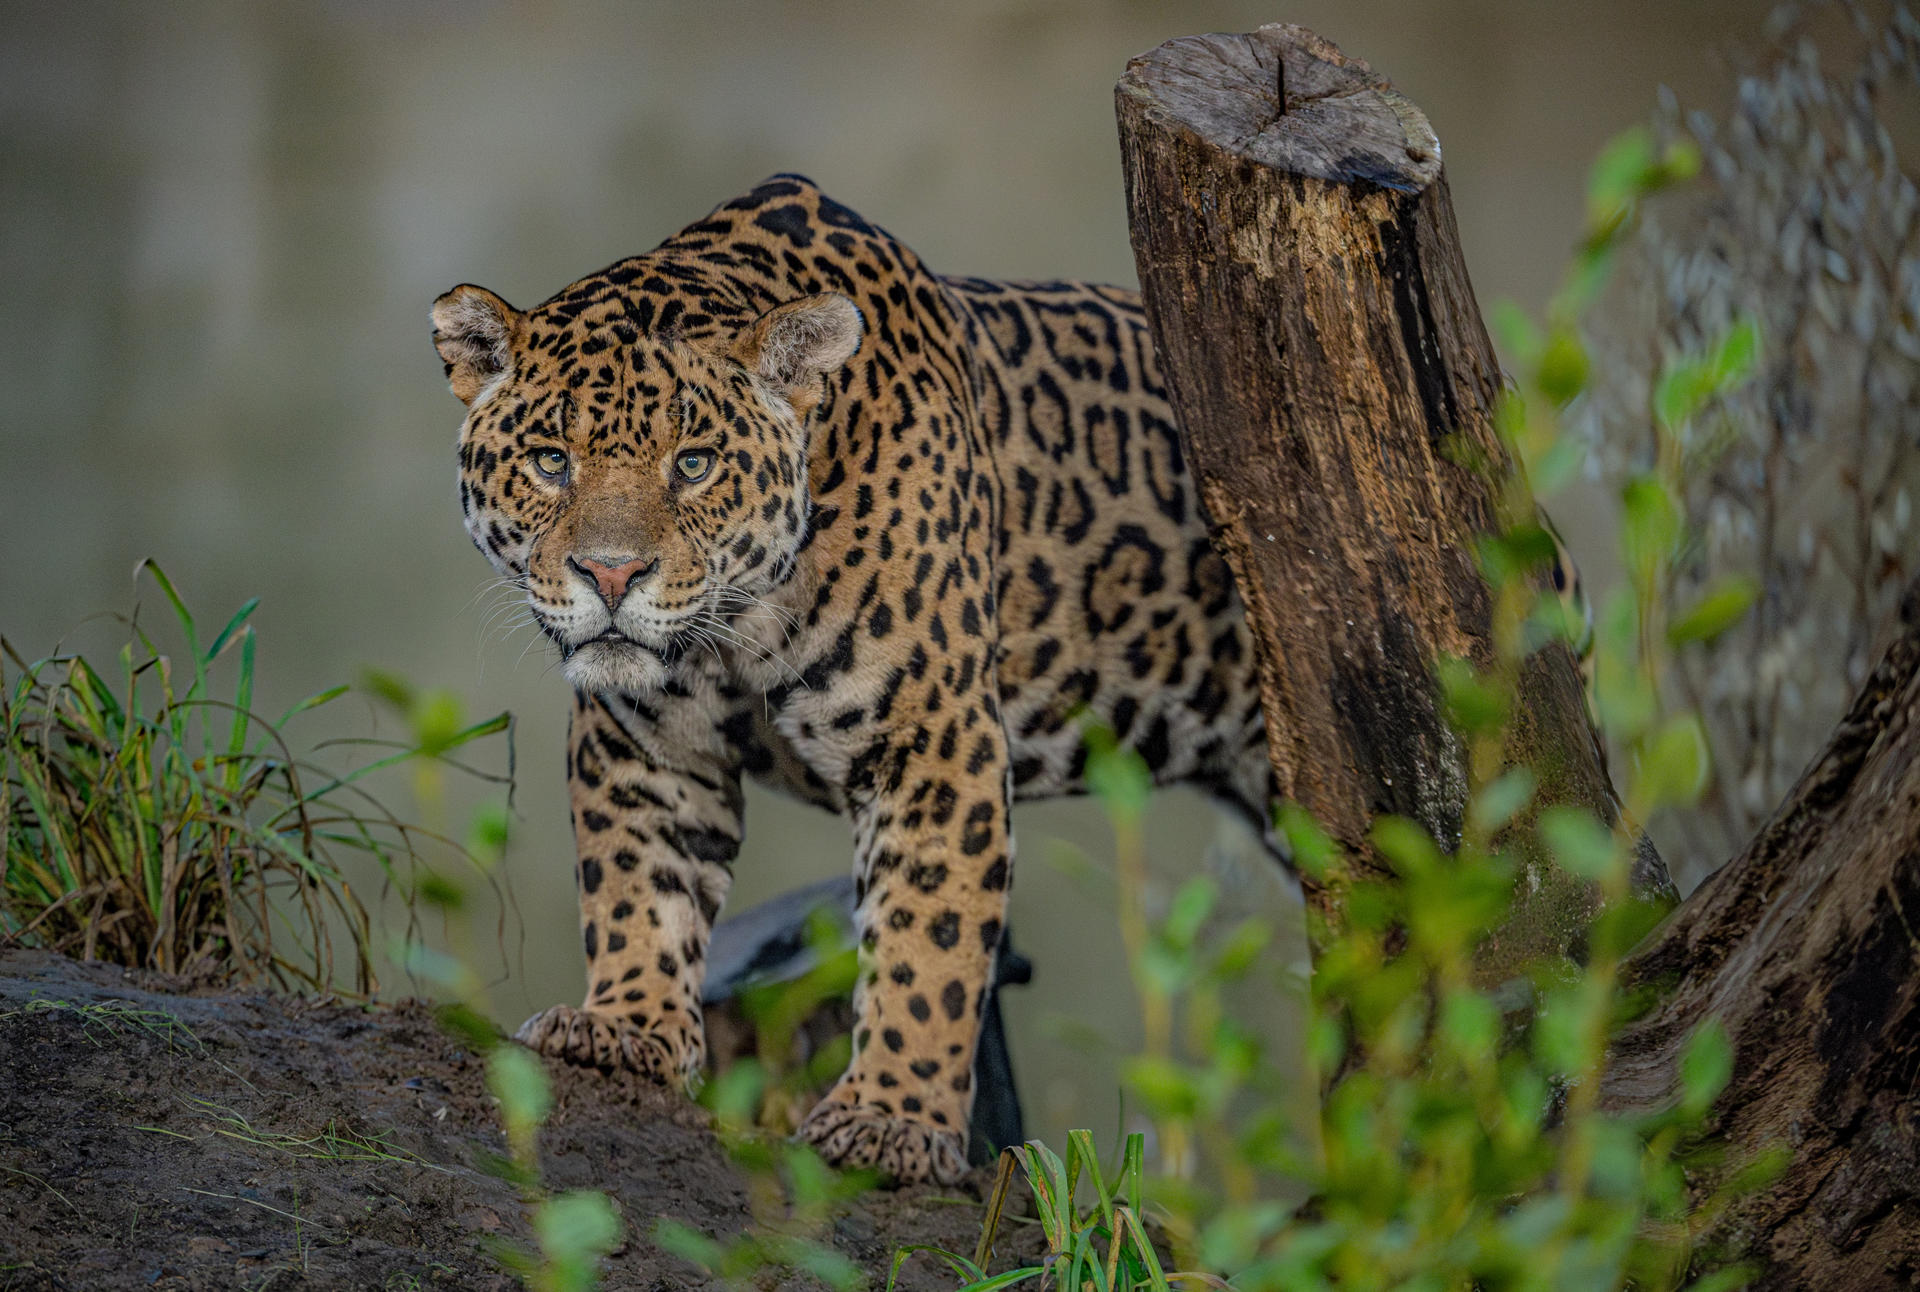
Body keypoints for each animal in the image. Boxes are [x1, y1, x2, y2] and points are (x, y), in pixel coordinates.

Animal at [431, 174, 1287, 1185]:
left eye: (694, 464)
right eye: (550, 461)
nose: (609, 574)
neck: (740, 628)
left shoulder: (935, 740)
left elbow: (930, 935)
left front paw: (892, 1121)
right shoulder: (642, 740)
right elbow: (636, 882)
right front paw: (625, 1026)